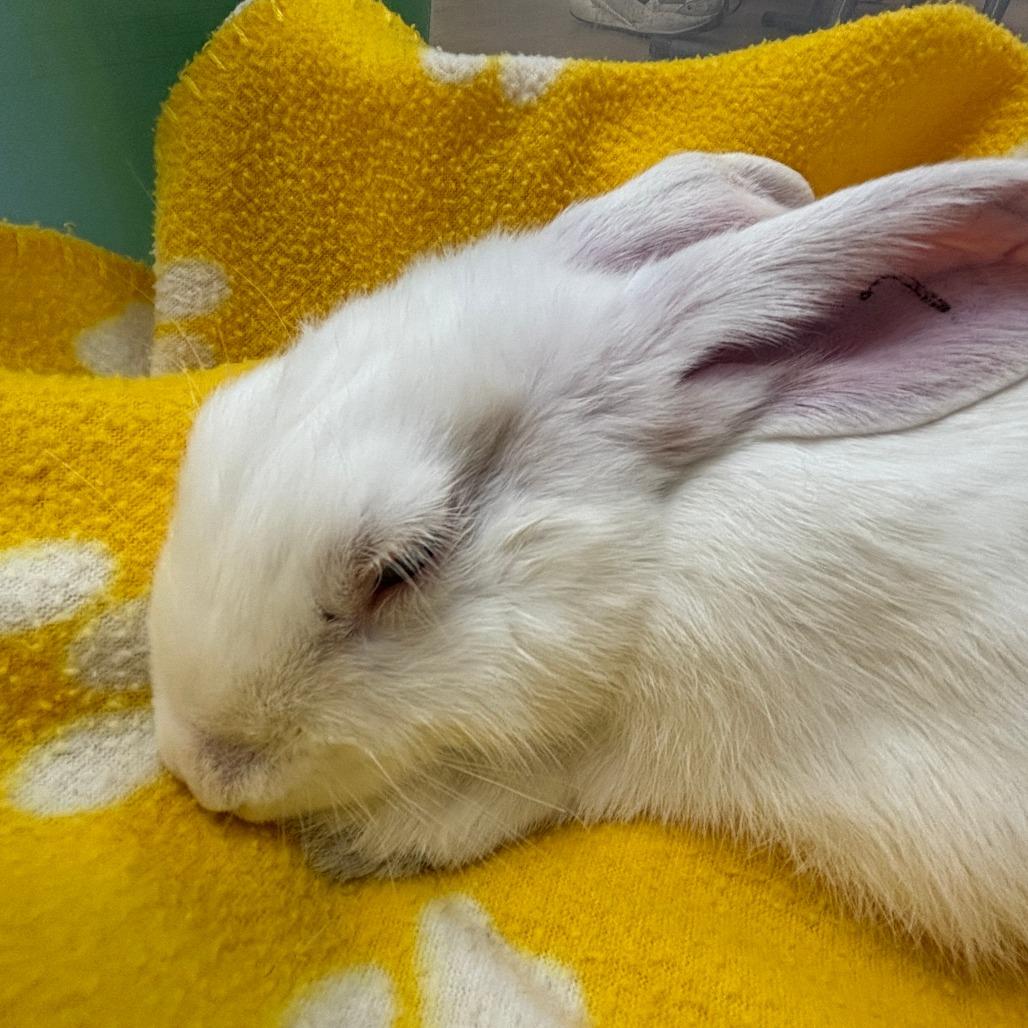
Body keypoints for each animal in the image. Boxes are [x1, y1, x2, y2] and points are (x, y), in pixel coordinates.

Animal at [149, 150, 1028, 965]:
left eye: (403, 566)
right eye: (222, 415)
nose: (203, 771)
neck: (662, 556)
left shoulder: (593, 756)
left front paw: (349, 848)